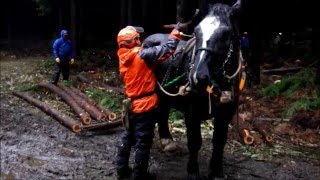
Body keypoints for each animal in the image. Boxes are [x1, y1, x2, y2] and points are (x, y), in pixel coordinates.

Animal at [144, 1, 241, 180]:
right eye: (196, 31)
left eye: (226, 34)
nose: (198, 76)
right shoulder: (192, 112)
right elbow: (195, 141)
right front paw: (193, 171)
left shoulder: (226, 113)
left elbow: (219, 141)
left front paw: (216, 171)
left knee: (163, 111)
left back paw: (167, 141)